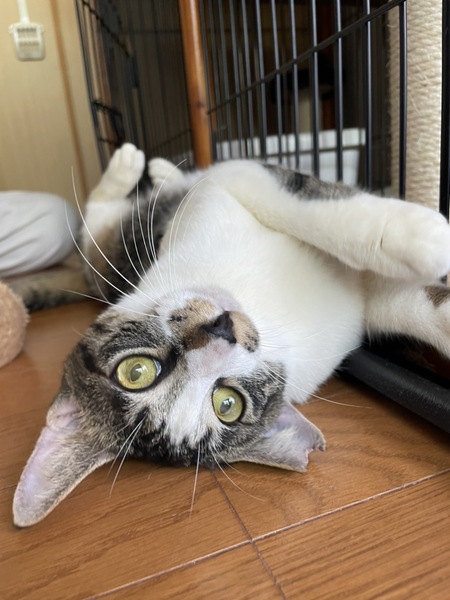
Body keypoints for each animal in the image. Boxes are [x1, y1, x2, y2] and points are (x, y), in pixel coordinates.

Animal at [13, 143, 450, 527]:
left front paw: (419, 238)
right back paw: (132, 166)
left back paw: (156, 167)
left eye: (135, 372)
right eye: (227, 403)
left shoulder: (231, 181)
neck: (266, 309)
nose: (220, 331)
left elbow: (302, 206)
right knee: (95, 226)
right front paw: (432, 241)